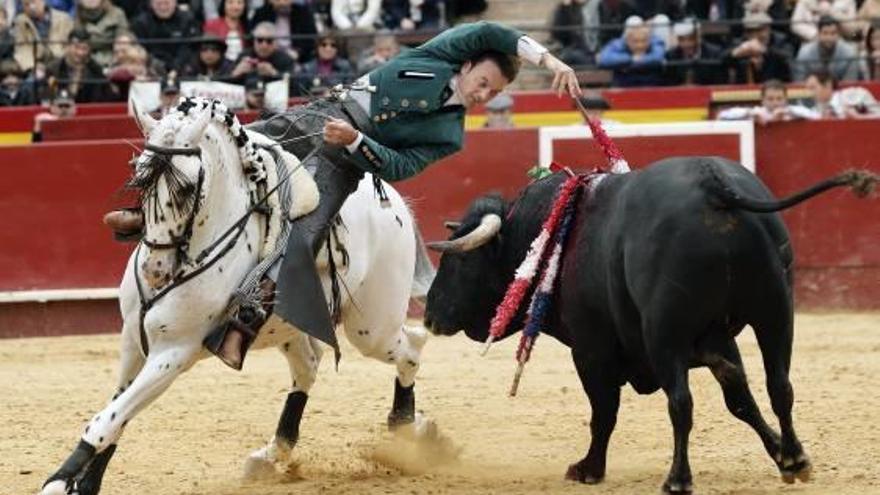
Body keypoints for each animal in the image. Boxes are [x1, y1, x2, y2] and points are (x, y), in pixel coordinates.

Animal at [41, 99, 434, 494]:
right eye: (139, 177)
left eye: (186, 189)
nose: (154, 269)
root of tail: (392, 200)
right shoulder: (132, 341)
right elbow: (118, 413)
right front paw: (82, 483)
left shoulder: (175, 352)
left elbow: (106, 420)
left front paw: (58, 482)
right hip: (290, 326)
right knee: (309, 366)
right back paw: (273, 454)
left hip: (371, 327)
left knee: (412, 347)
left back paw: (410, 428)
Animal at [422, 157, 876, 494]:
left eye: (460, 261)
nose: (428, 313)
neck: (549, 236)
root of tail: (713, 188)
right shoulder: (716, 341)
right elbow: (740, 400)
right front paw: (781, 453)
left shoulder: (591, 351)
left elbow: (603, 412)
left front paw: (589, 468)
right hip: (776, 312)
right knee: (780, 385)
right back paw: (796, 458)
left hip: (665, 333)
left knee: (681, 402)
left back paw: (677, 479)